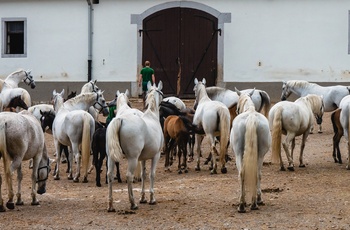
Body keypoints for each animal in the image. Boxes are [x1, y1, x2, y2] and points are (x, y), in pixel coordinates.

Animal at [105, 81, 164, 212]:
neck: (152, 116)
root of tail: (121, 119)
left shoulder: (143, 159)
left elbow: (143, 174)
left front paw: (143, 198)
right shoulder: (156, 156)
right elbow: (152, 175)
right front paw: (152, 199)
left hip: (111, 157)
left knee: (110, 175)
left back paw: (111, 205)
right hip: (132, 159)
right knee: (129, 176)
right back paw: (133, 203)